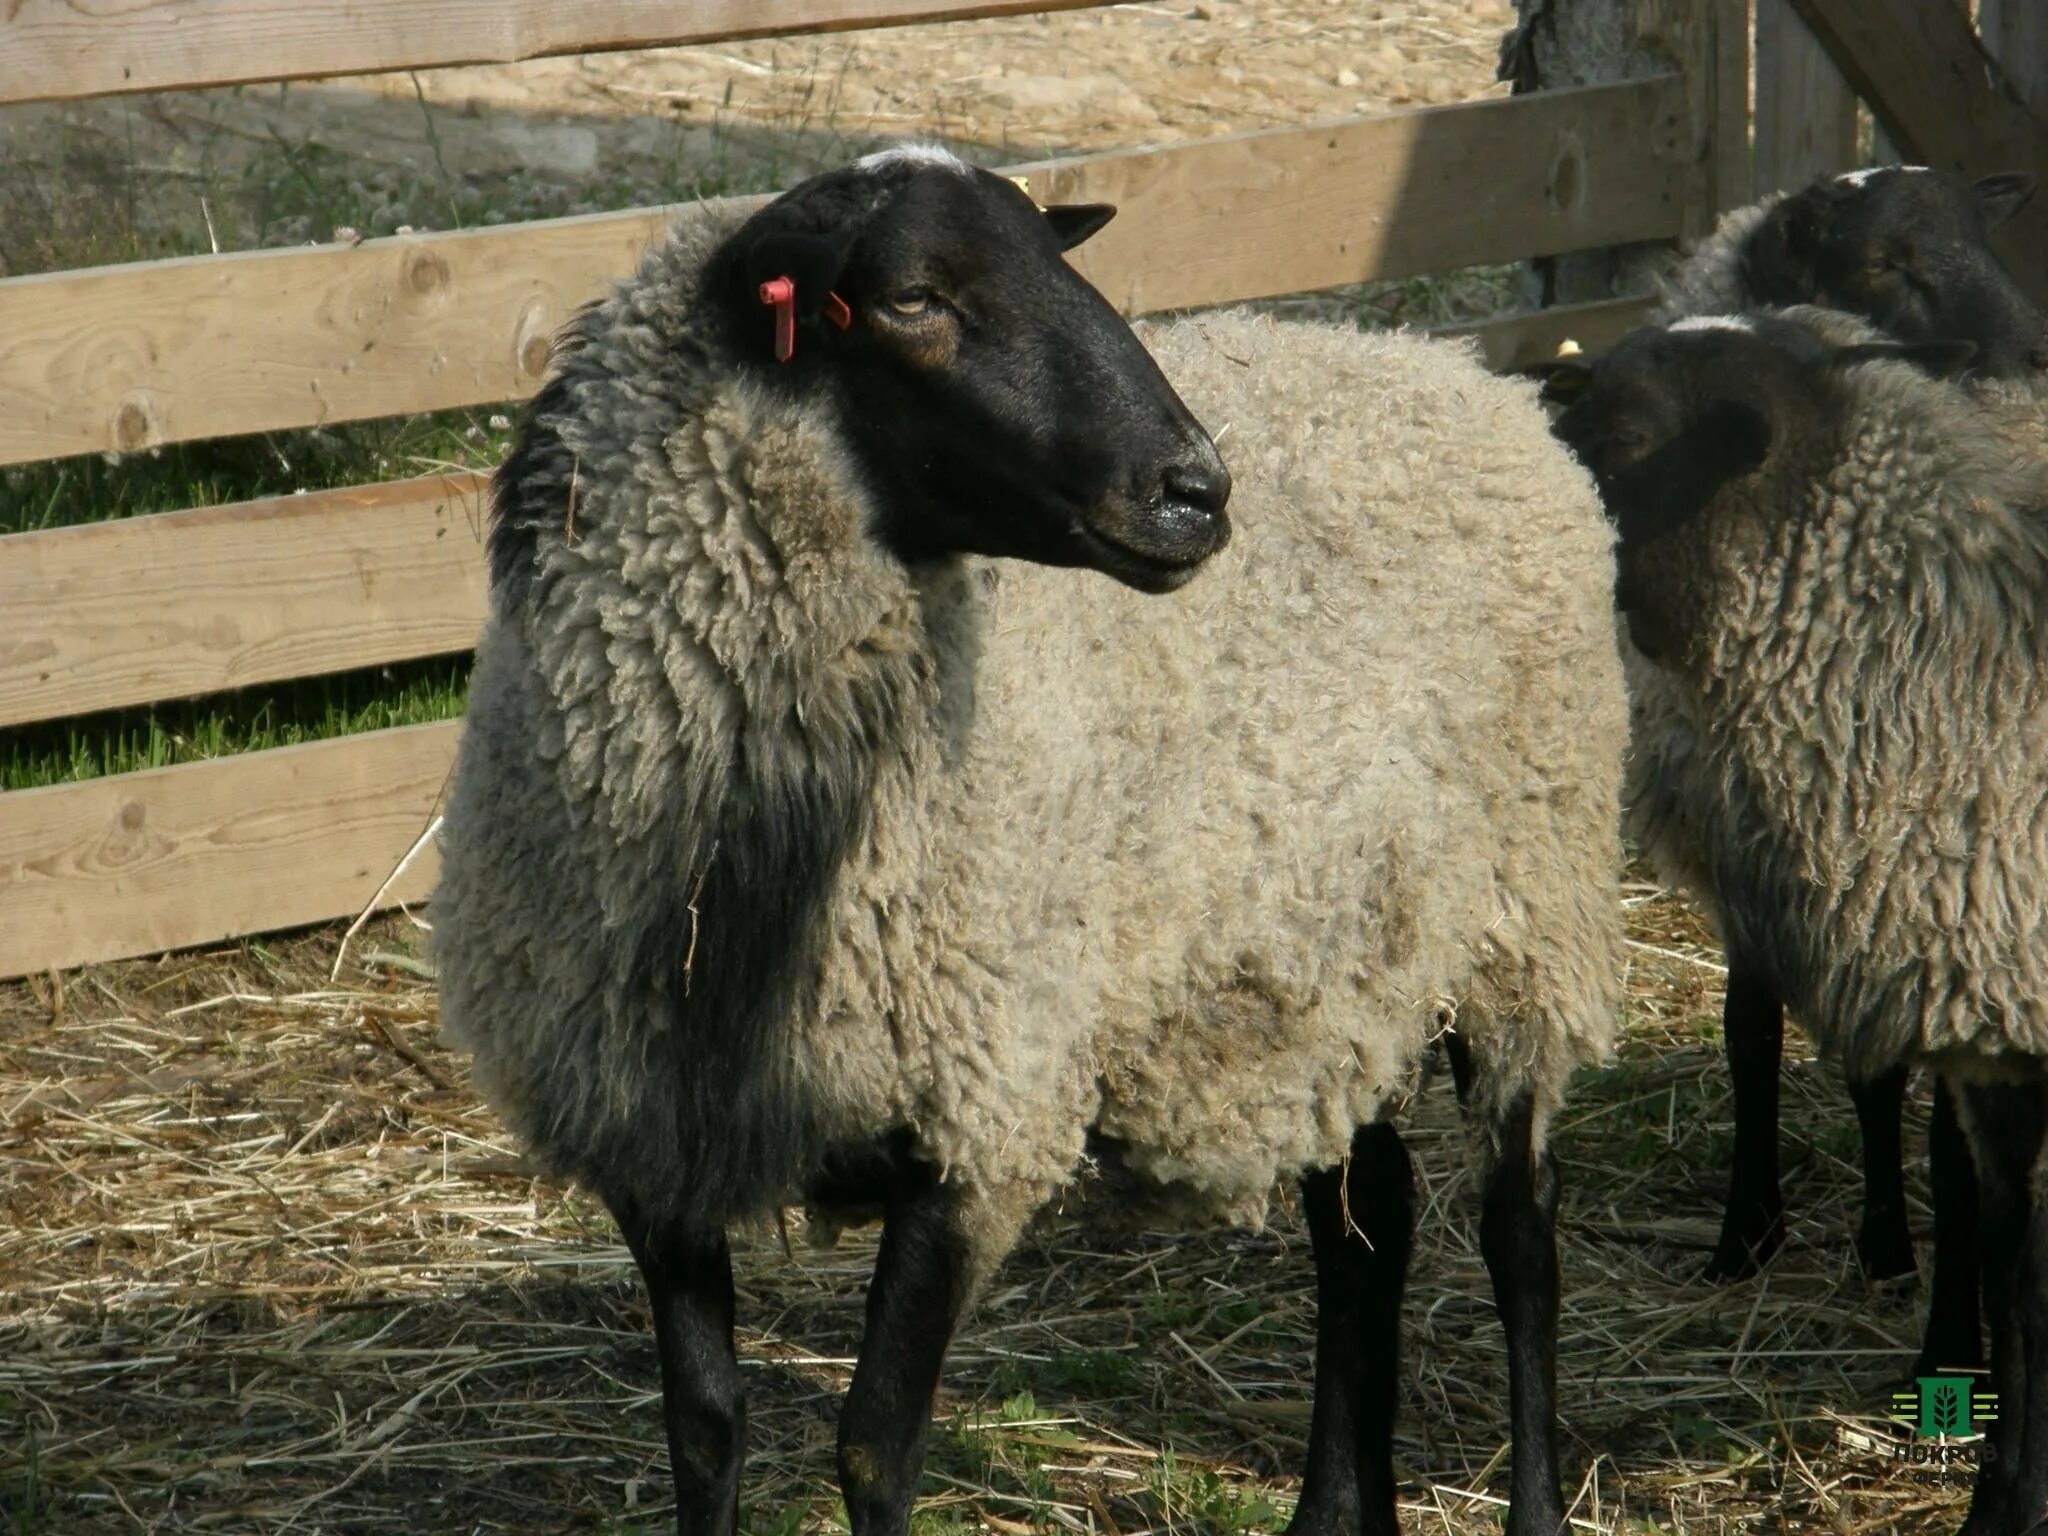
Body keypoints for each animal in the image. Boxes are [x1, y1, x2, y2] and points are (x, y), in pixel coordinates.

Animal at [436, 147, 1630, 1536]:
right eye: (909, 298)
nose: (1197, 492)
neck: (745, 870)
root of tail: (1454, 371)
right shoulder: (648, 1134)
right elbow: (704, 1427)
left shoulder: (977, 1115)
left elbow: (872, 1446)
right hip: (1333, 959)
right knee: (1364, 1220)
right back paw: (1334, 1508)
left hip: (1525, 920)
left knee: (1520, 1235)